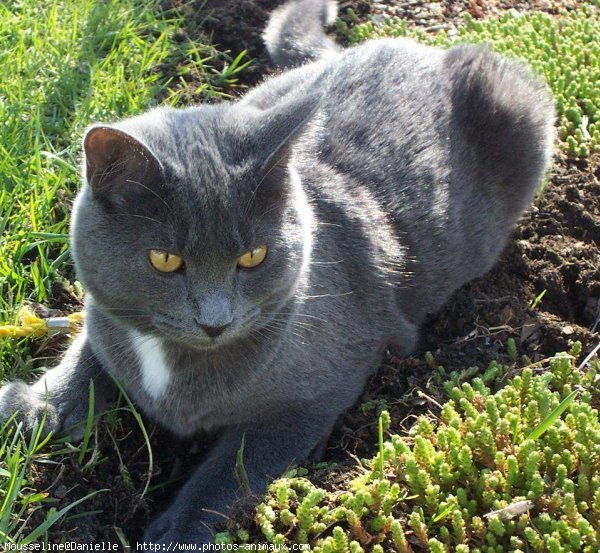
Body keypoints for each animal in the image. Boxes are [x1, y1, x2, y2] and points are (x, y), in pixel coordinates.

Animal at [0, 0, 552, 544]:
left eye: (253, 257)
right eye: (165, 260)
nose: (215, 321)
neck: (169, 359)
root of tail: (413, 48)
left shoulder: (316, 394)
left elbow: (238, 465)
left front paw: (176, 530)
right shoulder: (105, 310)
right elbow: (90, 347)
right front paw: (39, 406)